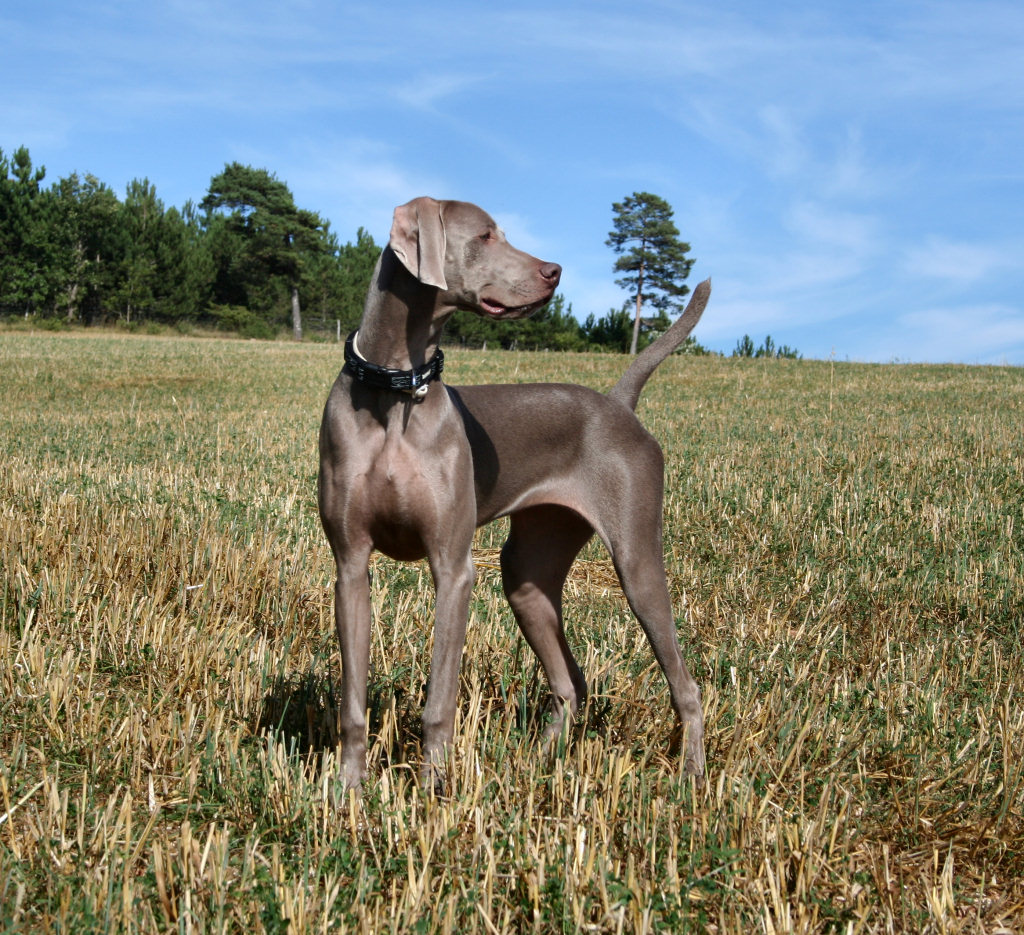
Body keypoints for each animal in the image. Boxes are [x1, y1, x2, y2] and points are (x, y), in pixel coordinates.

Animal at [315, 195, 708, 786]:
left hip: (637, 561)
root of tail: (618, 404)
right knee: (571, 682)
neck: (395, 391)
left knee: (686, 684)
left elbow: (439, 700)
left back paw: (692, 777)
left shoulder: (454, 569)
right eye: (483, 236)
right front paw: (347, 789)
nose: (555, 271)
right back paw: (540, 764)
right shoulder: (350, 565)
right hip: (527, 573)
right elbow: (352, 701)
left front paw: (433, 790)